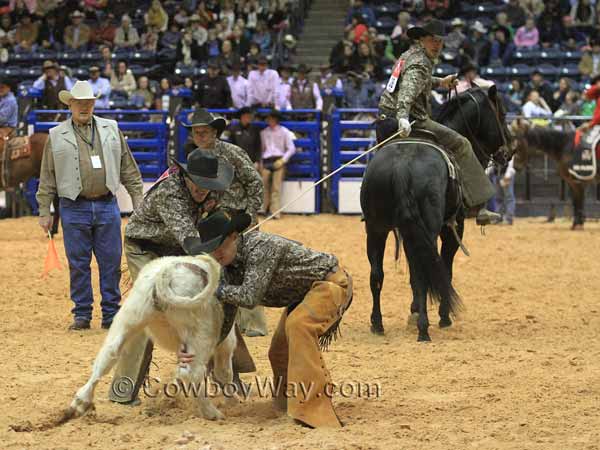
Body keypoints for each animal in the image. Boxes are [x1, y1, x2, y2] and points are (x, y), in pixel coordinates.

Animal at [360, 87, 510, 342]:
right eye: (502, 113)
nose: (509, 151)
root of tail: (402, 166)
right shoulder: (452, 228)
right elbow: (444, 269)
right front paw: (443, 315)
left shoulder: (407, 232)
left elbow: (413, 271)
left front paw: (413, 311)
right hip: (428, 229)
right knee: (423, 272)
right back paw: (424, 328)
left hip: (376, 228)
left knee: (377, 274)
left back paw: (377, 324)